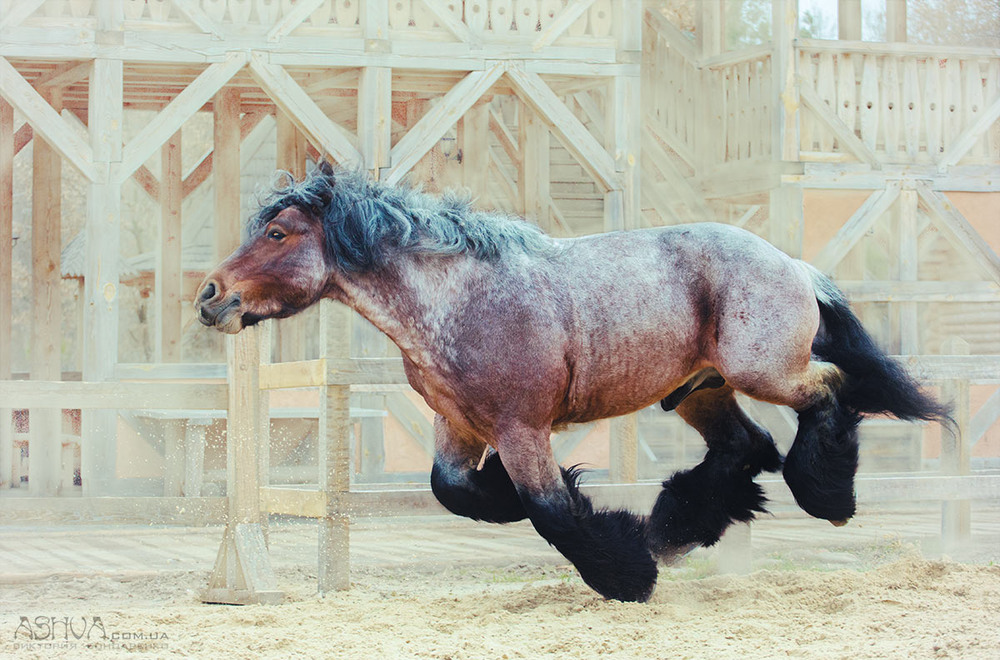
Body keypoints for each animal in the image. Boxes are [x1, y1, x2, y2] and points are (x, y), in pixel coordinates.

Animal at [193, 162, 944, 600]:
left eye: (279, 234)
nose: (210, 296)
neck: (459, 299)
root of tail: (793, 264)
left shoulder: (521, 428)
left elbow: (550, 509)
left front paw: (625, 574)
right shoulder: (458, 425)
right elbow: (455, 490)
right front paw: (615, 535)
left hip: (765, 370)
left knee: (830, 394)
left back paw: (826, 497)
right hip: (698, 390)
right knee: (747, 447)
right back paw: (674, 530)